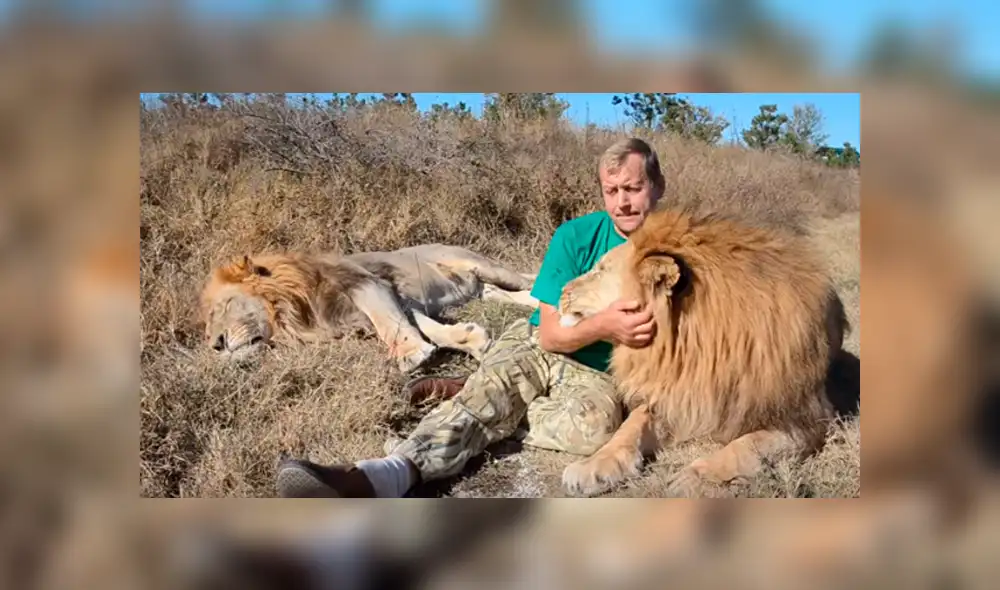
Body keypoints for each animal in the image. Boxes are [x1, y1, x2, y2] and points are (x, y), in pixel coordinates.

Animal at [199, 244, 539, 373]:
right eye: (207, 326)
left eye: (223, 307)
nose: (216, 345)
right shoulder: (397, 299)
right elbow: (423, 327)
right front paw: (471, 339)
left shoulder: (366, 285)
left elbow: (389, 325)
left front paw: (411, 356)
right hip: (482, 289)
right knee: (510, 293)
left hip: (486, 267)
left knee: (529, 282)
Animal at [557, 206, 848, 497]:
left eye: (600, 270)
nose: (561, 291)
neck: (694, 350)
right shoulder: (670, 398)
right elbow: (628, 429)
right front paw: (593, 465)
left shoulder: (806, 418)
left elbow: (745, 447)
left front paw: (694, 478)